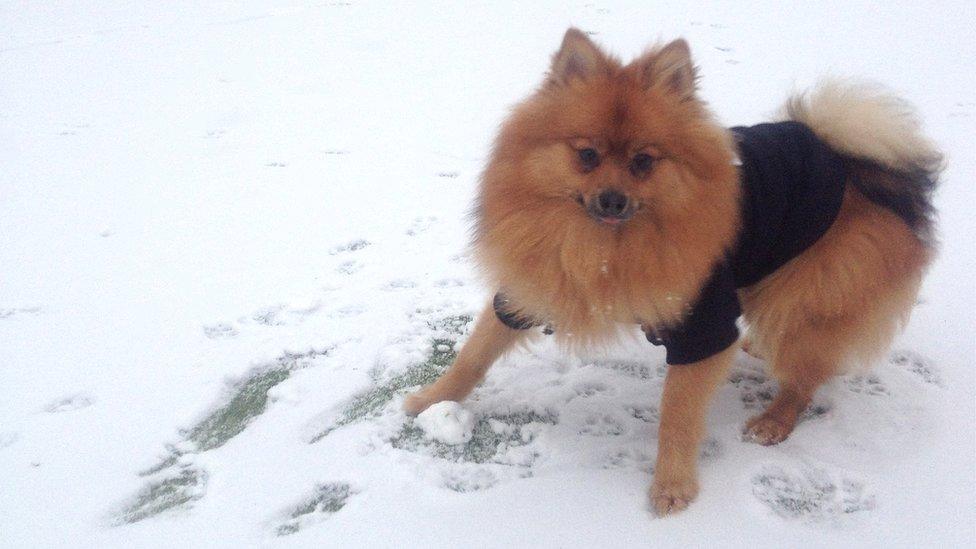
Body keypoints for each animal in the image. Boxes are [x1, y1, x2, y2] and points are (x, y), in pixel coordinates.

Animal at [402, 27, 936, 516]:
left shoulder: (702, 324)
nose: (612, 199)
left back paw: (774, 420)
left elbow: (677, 416)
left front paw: (673, 485)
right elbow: (475, 355)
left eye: (643, 161)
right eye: (587, 155)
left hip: (807, 296)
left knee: (806, 373)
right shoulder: (530, 287)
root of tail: (862, 169)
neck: (604, 247)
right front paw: (433, 400)